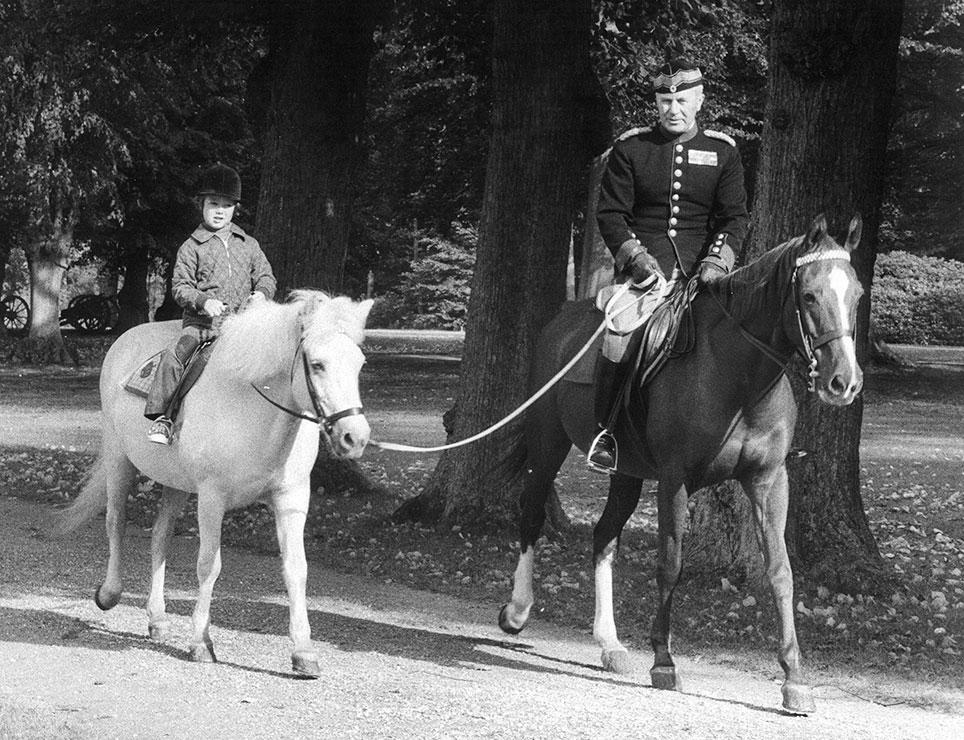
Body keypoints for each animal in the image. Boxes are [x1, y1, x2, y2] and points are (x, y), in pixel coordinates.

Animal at [63, 290, 372, 676]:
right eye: (317, 365)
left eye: (359, 363)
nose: (354, 437)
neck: (252, 406)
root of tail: (124, 339)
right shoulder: (212, 498)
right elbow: (209, 565)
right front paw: (201, 641)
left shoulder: (292, 500)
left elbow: (296, 570)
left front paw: (304, 652)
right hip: (121, 461)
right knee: (115, 523)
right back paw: (109, 594)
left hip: (177, 484)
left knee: (160, 536)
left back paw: (157, 619)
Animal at [500, 215, 864, 716]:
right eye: (808, 295)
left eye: (858, 295)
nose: (843, 382)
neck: (737, 375)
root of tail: (562, 322)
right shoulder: (675, 481)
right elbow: (670, 563)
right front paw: (664, 660)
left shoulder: (770, 482)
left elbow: (780, 572)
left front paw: (794, 678)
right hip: (547, 442)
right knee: (532, 513)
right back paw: (517, 611)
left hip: (627, 474)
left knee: (604, 536)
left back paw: (609, 643)